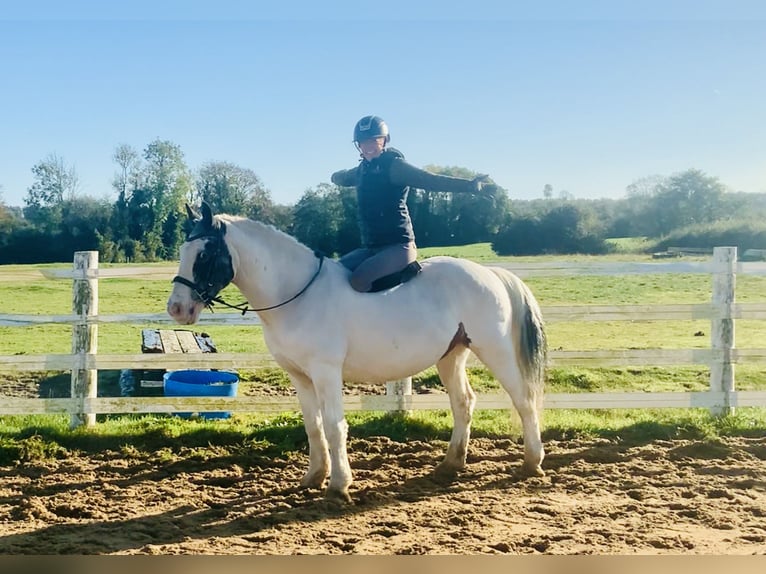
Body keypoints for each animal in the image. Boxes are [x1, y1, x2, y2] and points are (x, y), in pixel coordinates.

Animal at [169, 202, 552, 504]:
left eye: (204, 254)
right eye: (182, 252)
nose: (177, 309)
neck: (296, 295)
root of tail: (490, 273)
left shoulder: (326, 372)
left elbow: (334, 426)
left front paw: (338, 486)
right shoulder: (299, 376)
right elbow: (313, 425)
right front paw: (313, 477)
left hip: (495, 350)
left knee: (523, 400)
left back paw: (532, 463)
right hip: (451, 356)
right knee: (463, 403)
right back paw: (451, 464)